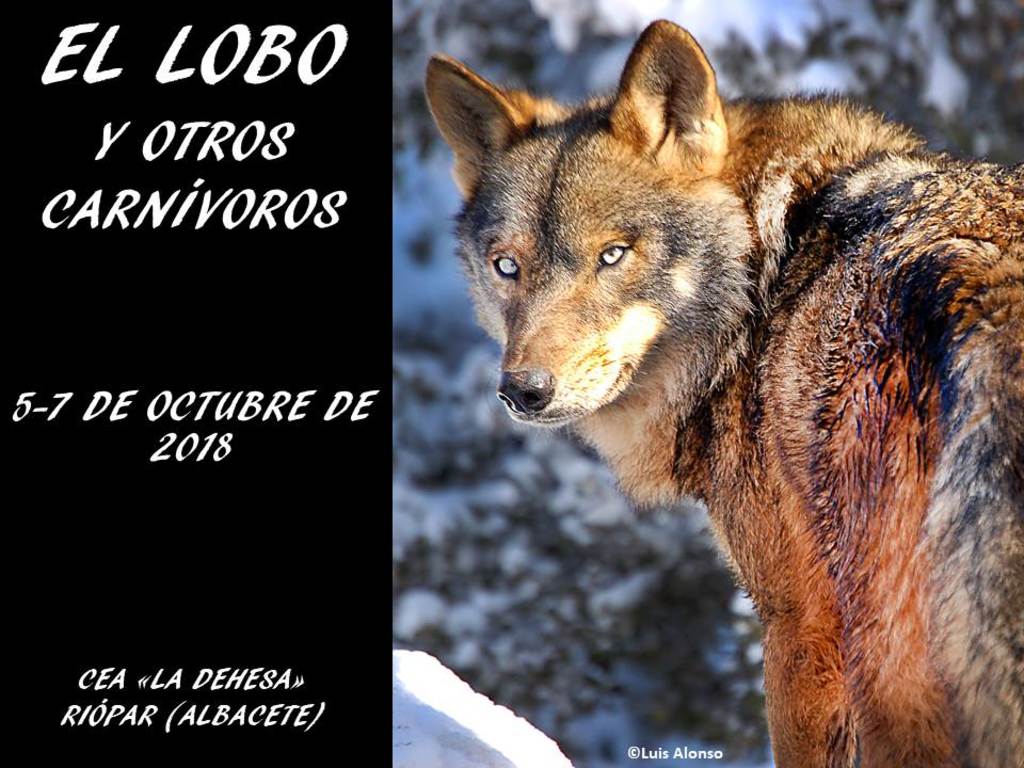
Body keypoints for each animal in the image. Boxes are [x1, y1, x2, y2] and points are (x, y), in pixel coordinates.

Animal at [425, 19, 1023, 768]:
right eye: (507, 266)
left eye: (613, 255)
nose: (524, 391)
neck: (767, 274)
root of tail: (993, 284)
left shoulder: (798, 627)